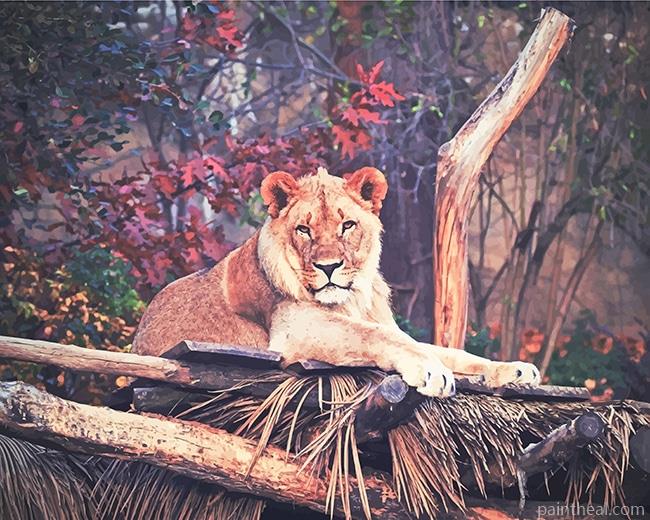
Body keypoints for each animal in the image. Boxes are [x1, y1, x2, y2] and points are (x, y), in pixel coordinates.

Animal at [132, 166, 540, 396]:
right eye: (303, 229)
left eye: (347, 225)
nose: (329, 266)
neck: (353, 298)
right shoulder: (294, 329)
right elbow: (378, 336)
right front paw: (430, 370)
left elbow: (450, 351)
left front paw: (514, 370)